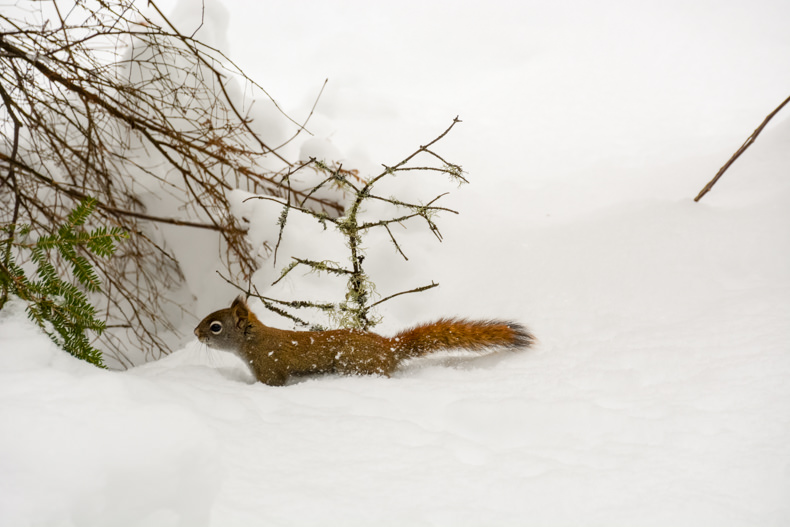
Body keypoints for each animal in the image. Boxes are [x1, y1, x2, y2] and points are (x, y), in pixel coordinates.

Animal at [195, 296, 536, 388]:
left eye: (215, 327)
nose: (195, 333)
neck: (255, 342)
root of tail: (390, 348)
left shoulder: (271, 372)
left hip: (354, 362)